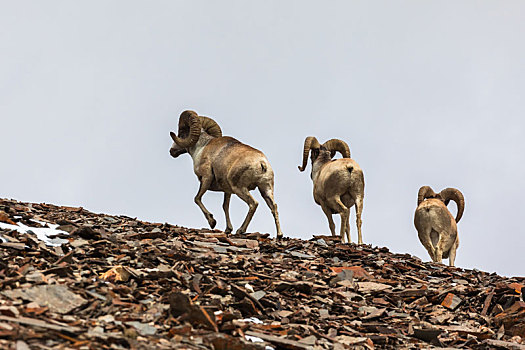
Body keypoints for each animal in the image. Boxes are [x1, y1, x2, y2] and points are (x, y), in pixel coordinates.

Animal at [168, 110, 282, 239]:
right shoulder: (227, 191)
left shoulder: (206, 178)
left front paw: (212, 222)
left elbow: (197, 198)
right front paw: (228, 229)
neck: (201, 147)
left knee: (253, 204)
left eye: (181, 133)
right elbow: (225, 206)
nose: (172, 151)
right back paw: (279, 235)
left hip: (240, 188)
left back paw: (240, 230)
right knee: (274, 207)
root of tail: (261, 163)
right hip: (265, 189)